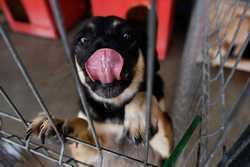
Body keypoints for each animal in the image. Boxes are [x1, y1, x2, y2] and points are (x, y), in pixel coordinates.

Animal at [25, 16, 174, 167]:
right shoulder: (90, 156)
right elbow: (83, 122)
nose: (104, 43)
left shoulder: (165, 151)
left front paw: (140, 117)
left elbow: (142, 95)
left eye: (127, 36)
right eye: (83, 40)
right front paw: (59, 123)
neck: (115, 107)